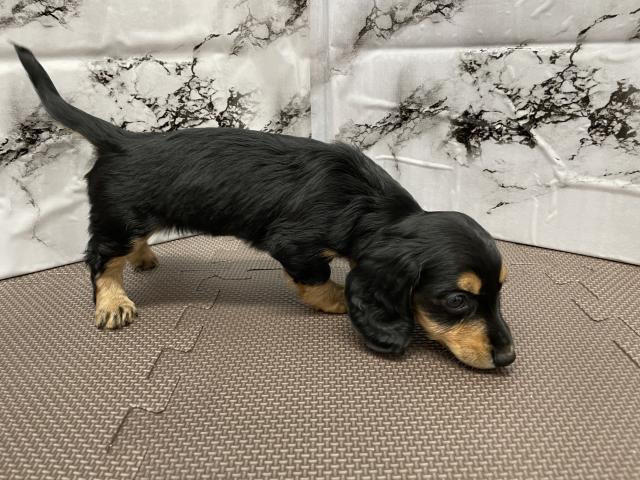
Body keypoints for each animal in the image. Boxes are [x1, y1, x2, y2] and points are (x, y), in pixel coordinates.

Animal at [14, 44, 515, 369]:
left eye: (500, 289)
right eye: (456, 300)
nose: (508, 357)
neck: (367, 205)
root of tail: (123, 141)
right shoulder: (295, 244)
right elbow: (316, 279)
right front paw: (337, 300)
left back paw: (143, 257)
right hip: (120, 220)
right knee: (100, 257)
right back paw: (113, 300)